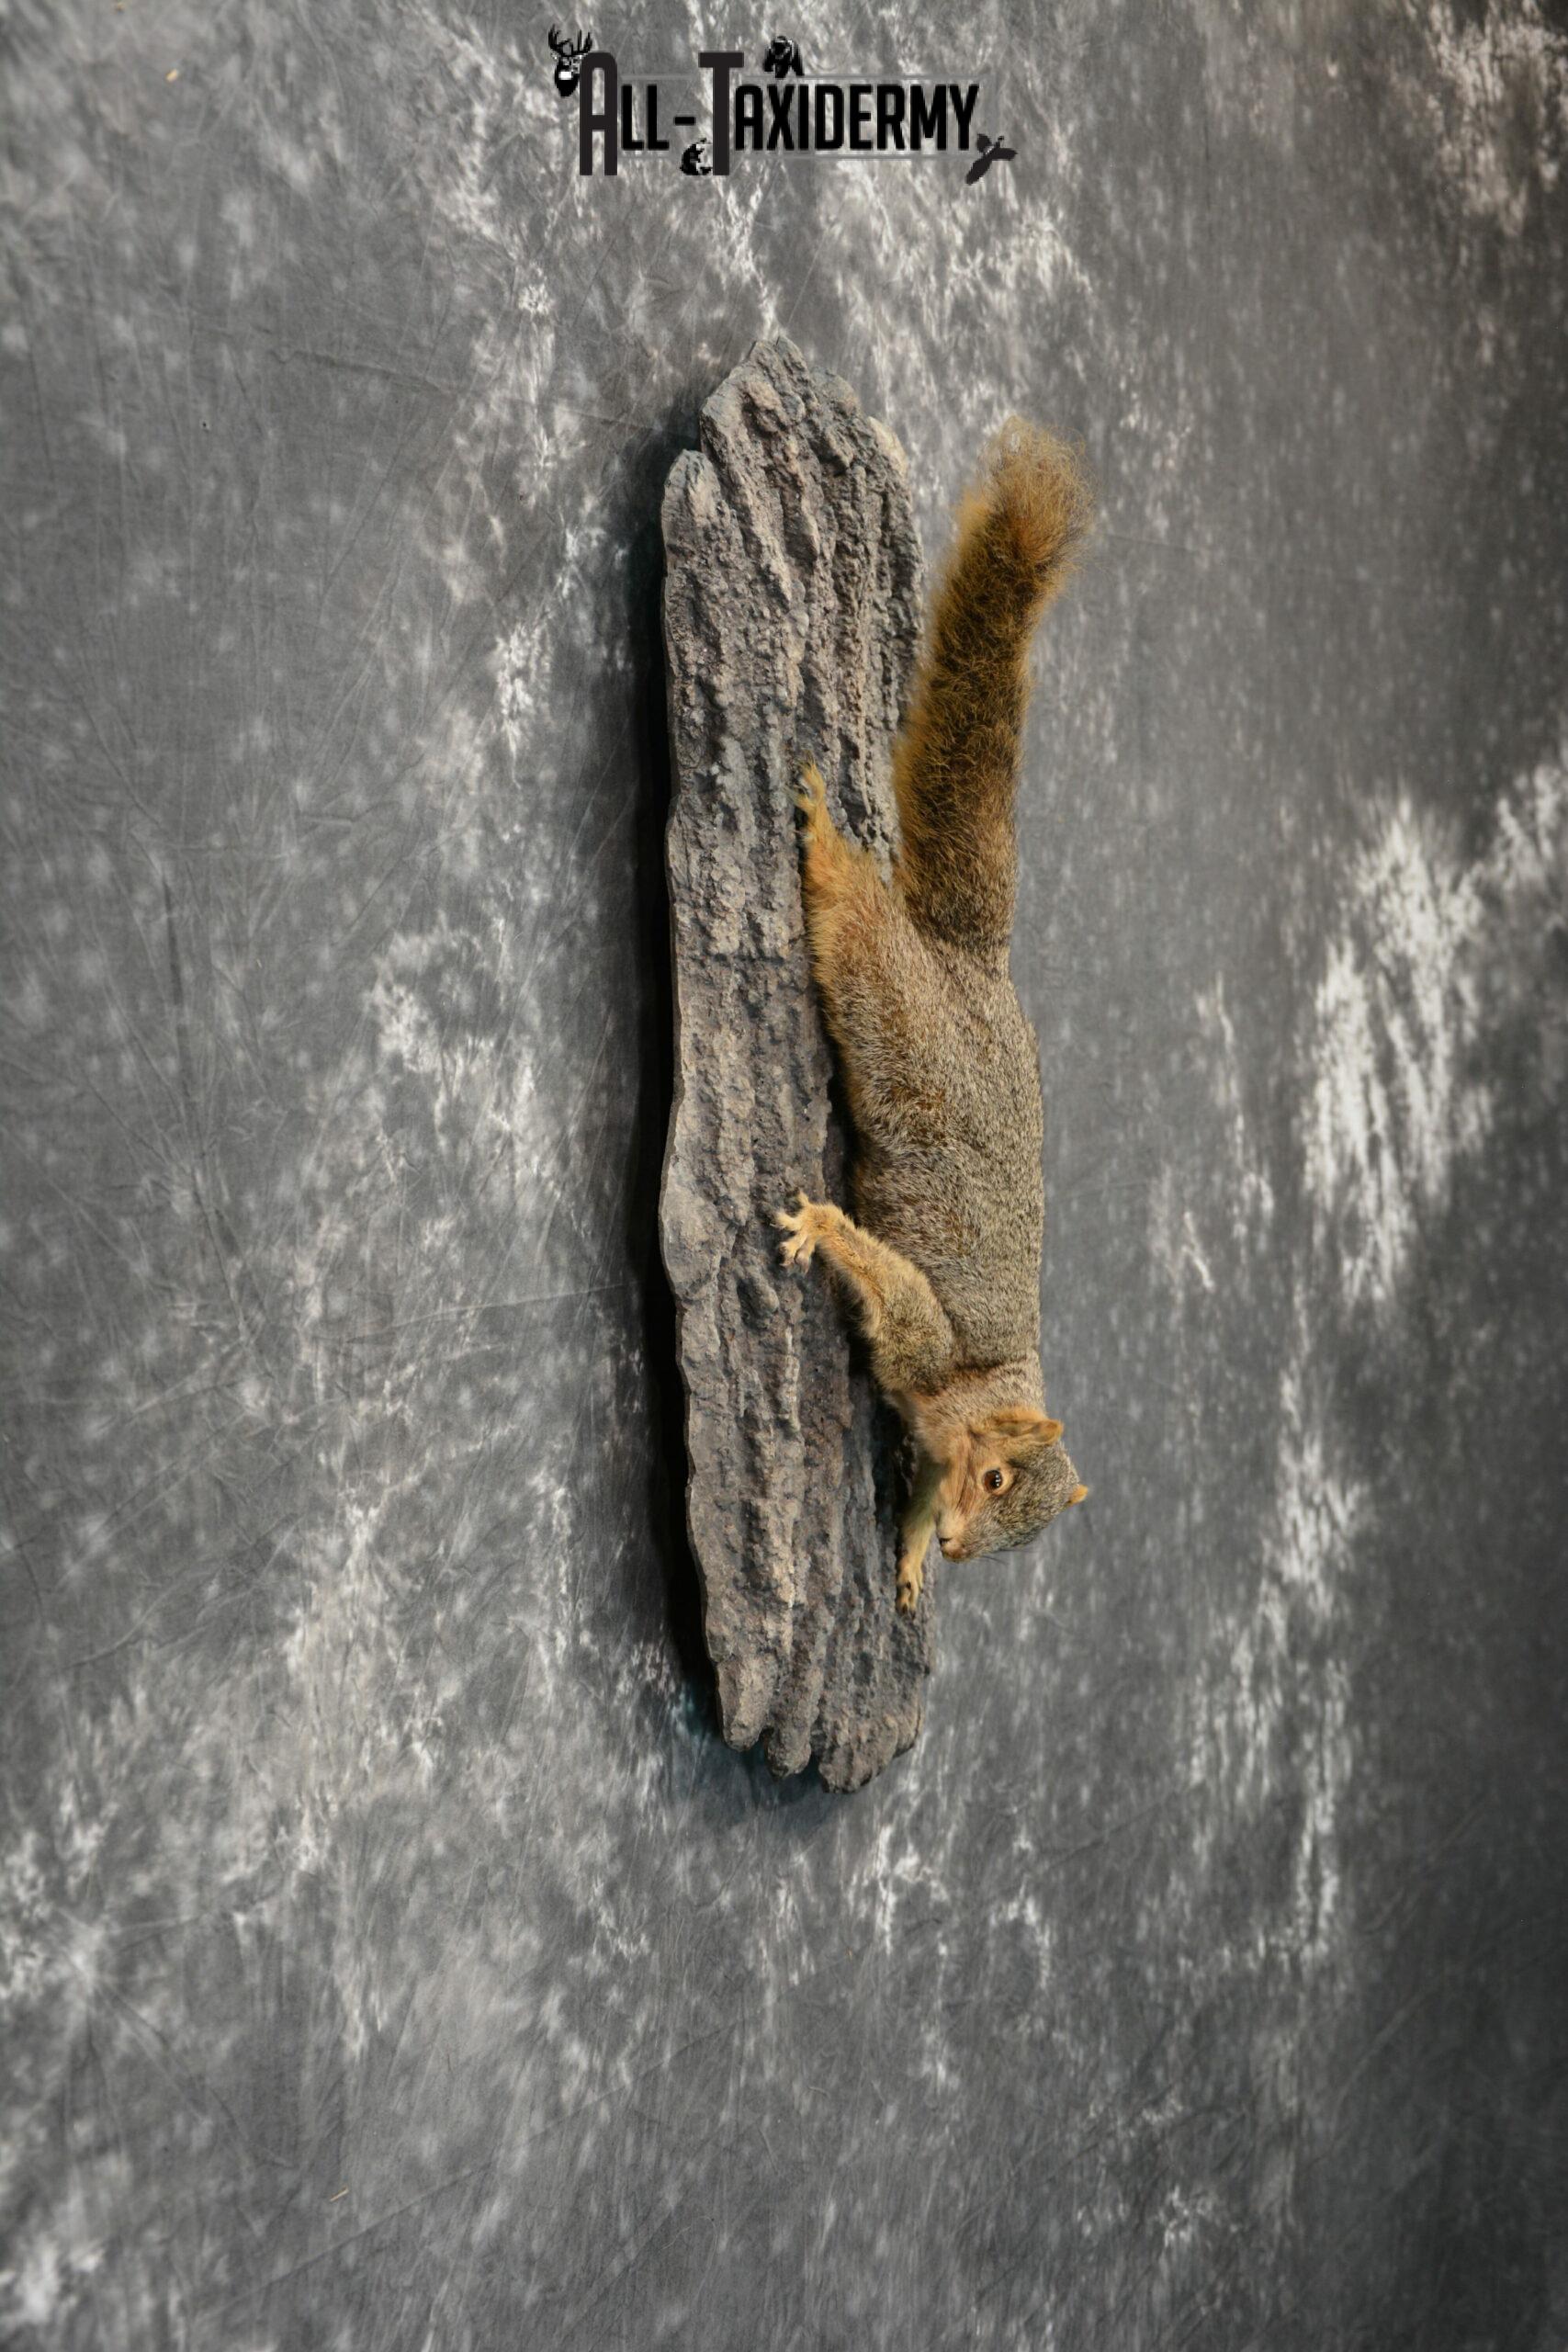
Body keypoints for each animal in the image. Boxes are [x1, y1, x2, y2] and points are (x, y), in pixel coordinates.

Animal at [777, 418, 1092, 1615]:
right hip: (897, 1008)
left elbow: (910, 1490)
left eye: (1021, 1532)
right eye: (998, 1475)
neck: (985, 1385)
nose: (962, 1551)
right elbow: (893, 1286)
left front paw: (910, 1553)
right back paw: (826, 848)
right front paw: (823, 1230)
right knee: (856, 929)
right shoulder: (924, 1342)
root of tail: (973, 968)